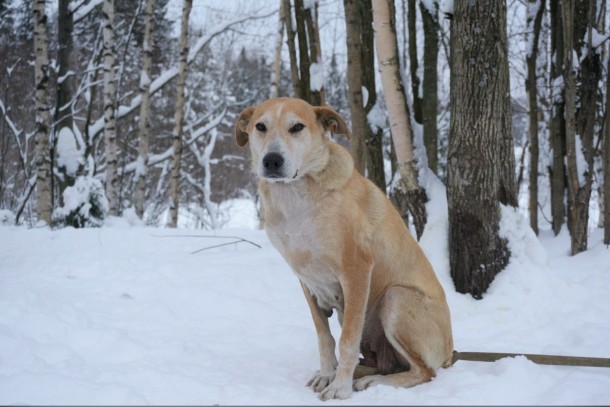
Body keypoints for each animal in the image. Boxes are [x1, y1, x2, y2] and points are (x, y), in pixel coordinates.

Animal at [233, 98, 452, 402]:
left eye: (297, 127)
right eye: (260, 127)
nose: (272, 161)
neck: (296, 197)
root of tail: (450, 352)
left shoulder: (356, 271)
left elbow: (348, 340)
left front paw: (340, 388)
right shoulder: (306, 280)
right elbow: (324, 337)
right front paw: (328, 374)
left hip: (395, 297)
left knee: (424, 372)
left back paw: (372, 381)